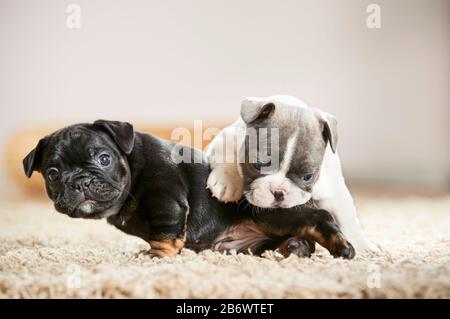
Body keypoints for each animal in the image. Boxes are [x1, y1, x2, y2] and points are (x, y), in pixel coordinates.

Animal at [22, 120, 356, 260]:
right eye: (53, 174)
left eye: (103, 158)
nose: (79, 181)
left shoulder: (165, 199)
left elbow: (165, 232)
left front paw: (155, 255)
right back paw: (293, 248)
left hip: (272, 212)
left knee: (319, 218)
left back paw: (341, 247)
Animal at [206, 95, 378, 255]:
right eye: (258, 165)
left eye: (307, 176)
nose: (278, 192)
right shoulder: (226, 137)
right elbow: (228, 154)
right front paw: (227, 183)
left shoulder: (333, 189)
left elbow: (347, 217)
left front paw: (363, 245)